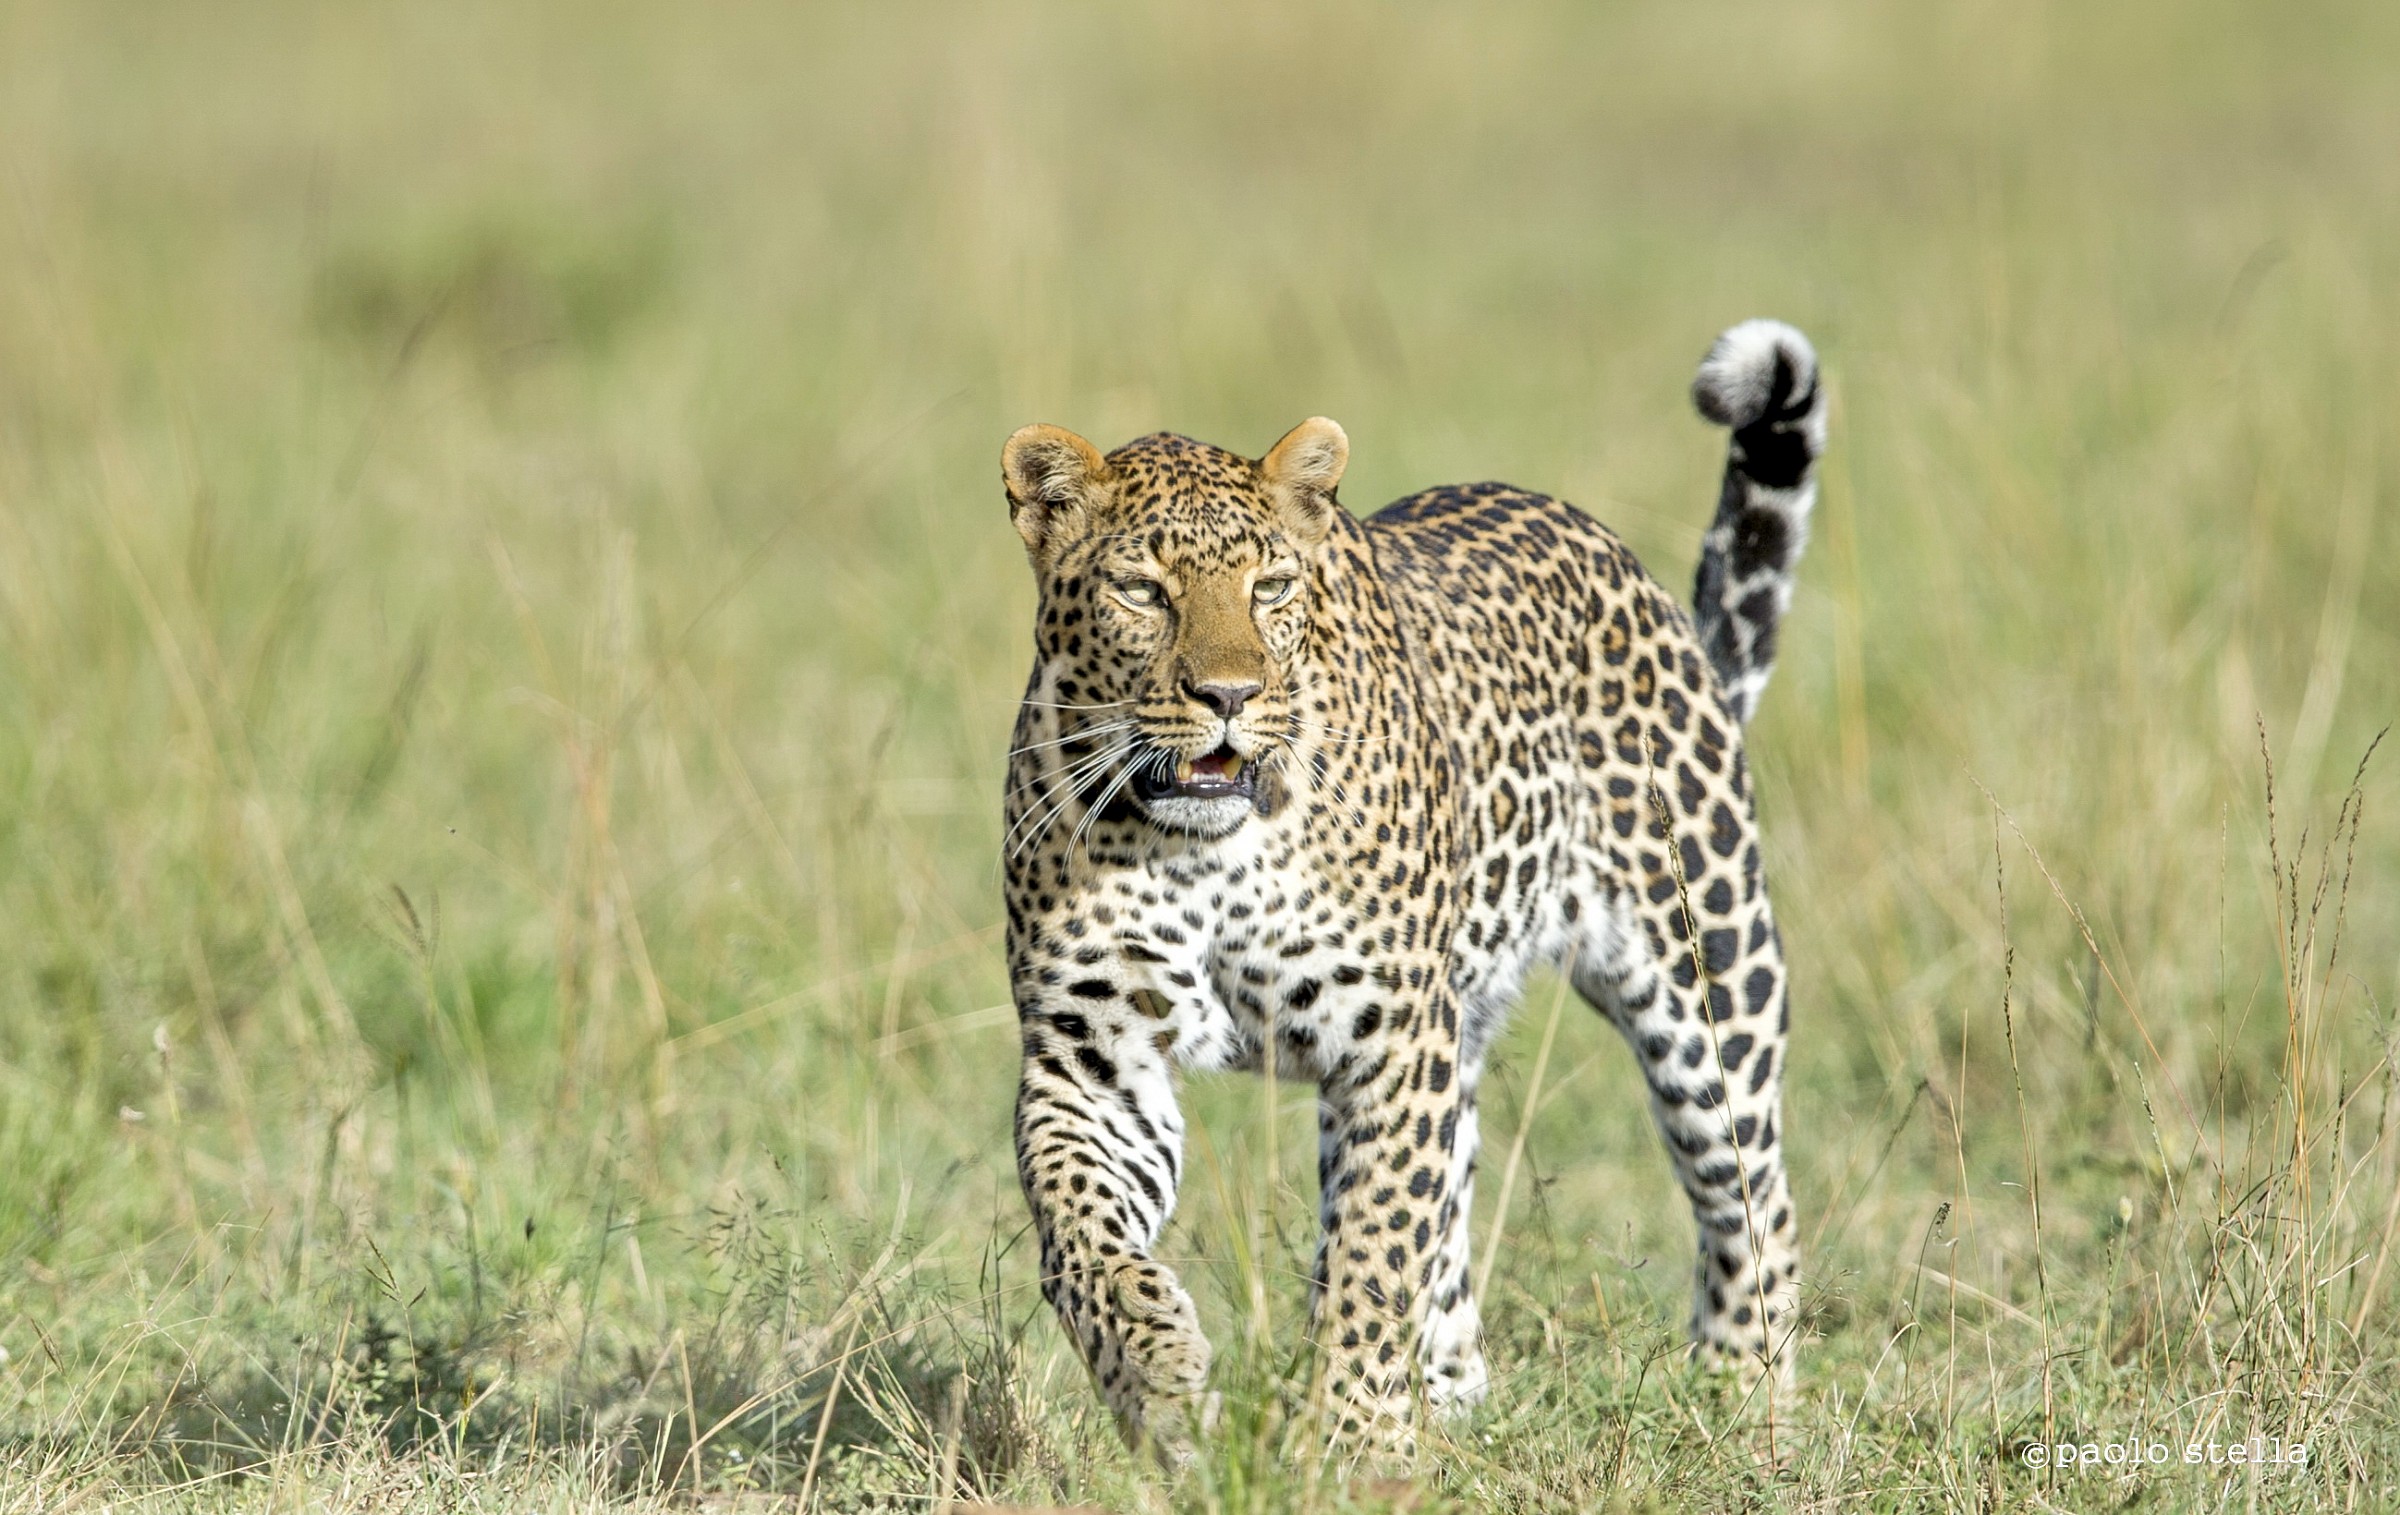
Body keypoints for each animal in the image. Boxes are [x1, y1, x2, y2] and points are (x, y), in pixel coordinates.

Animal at [997, 319, 1826, 1456]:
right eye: (1142, 592)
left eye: (1271, 589)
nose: (1229, 695)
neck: (1202, 851)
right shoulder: (1094, 1057)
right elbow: (1084, 1235)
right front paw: (1160, 1384)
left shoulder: (1392, 1039)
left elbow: (1374, 1255)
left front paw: (1357, 1438)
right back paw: (1455, 1398)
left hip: (1706, 973)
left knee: (1749, 1194)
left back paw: (1746, 1400)